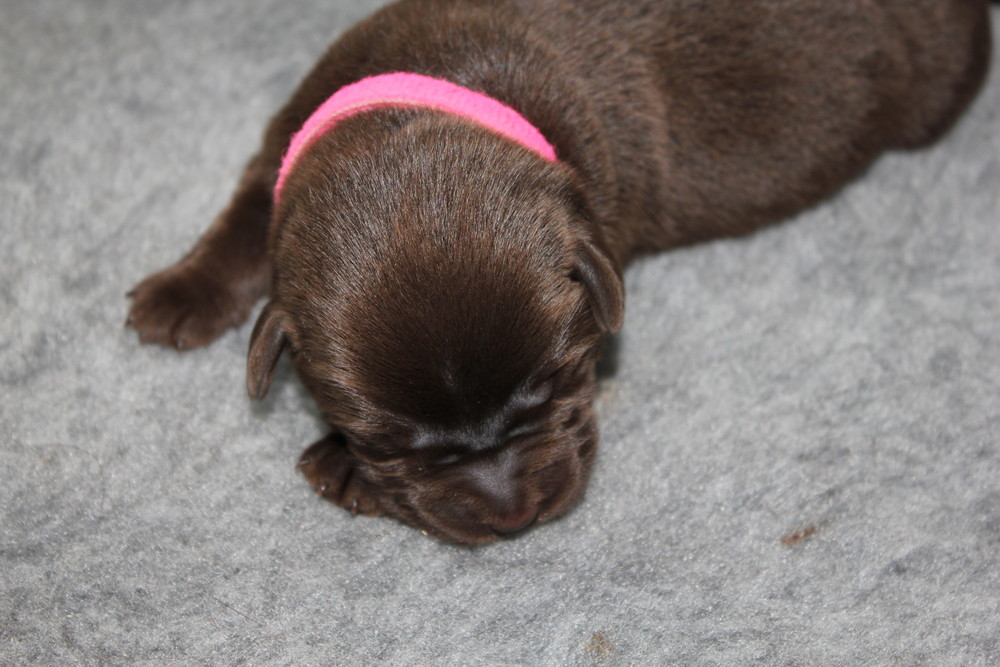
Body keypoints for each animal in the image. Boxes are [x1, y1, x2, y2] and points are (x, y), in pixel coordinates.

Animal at [127, 0, 992, 544]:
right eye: (391, 440)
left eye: (556, 383)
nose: (510, 514)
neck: (442, 86)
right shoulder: (283, 147)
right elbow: (243, 224)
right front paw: (179, 295)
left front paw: (335, 467)